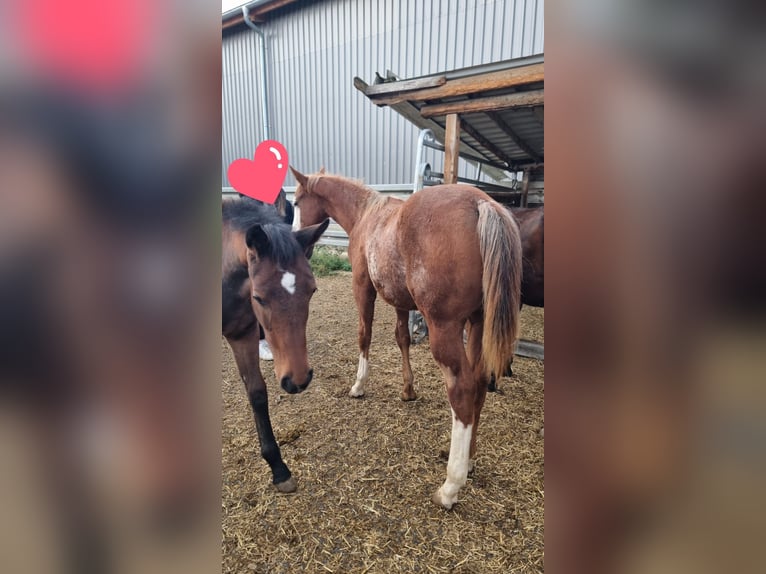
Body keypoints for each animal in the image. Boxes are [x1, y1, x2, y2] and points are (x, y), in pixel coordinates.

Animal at [222, 197, 329, 492]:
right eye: (258, 297)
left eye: (312, 290)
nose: (298, 380)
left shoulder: (242, 334)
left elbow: (257, 393)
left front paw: (278, 468)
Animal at [291, 168, 522, 509]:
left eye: (295, 201)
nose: (296, 240)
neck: (367, 214)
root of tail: (482, 203)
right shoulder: (400, 300)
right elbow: (402, 339)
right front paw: (408, 389)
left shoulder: (363, 288)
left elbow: (364, 335)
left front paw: (359, 385)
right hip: (478, 324)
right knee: (480, 383)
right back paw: (468, 460)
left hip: (446, 329)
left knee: (463, 390)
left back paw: (450, 487)